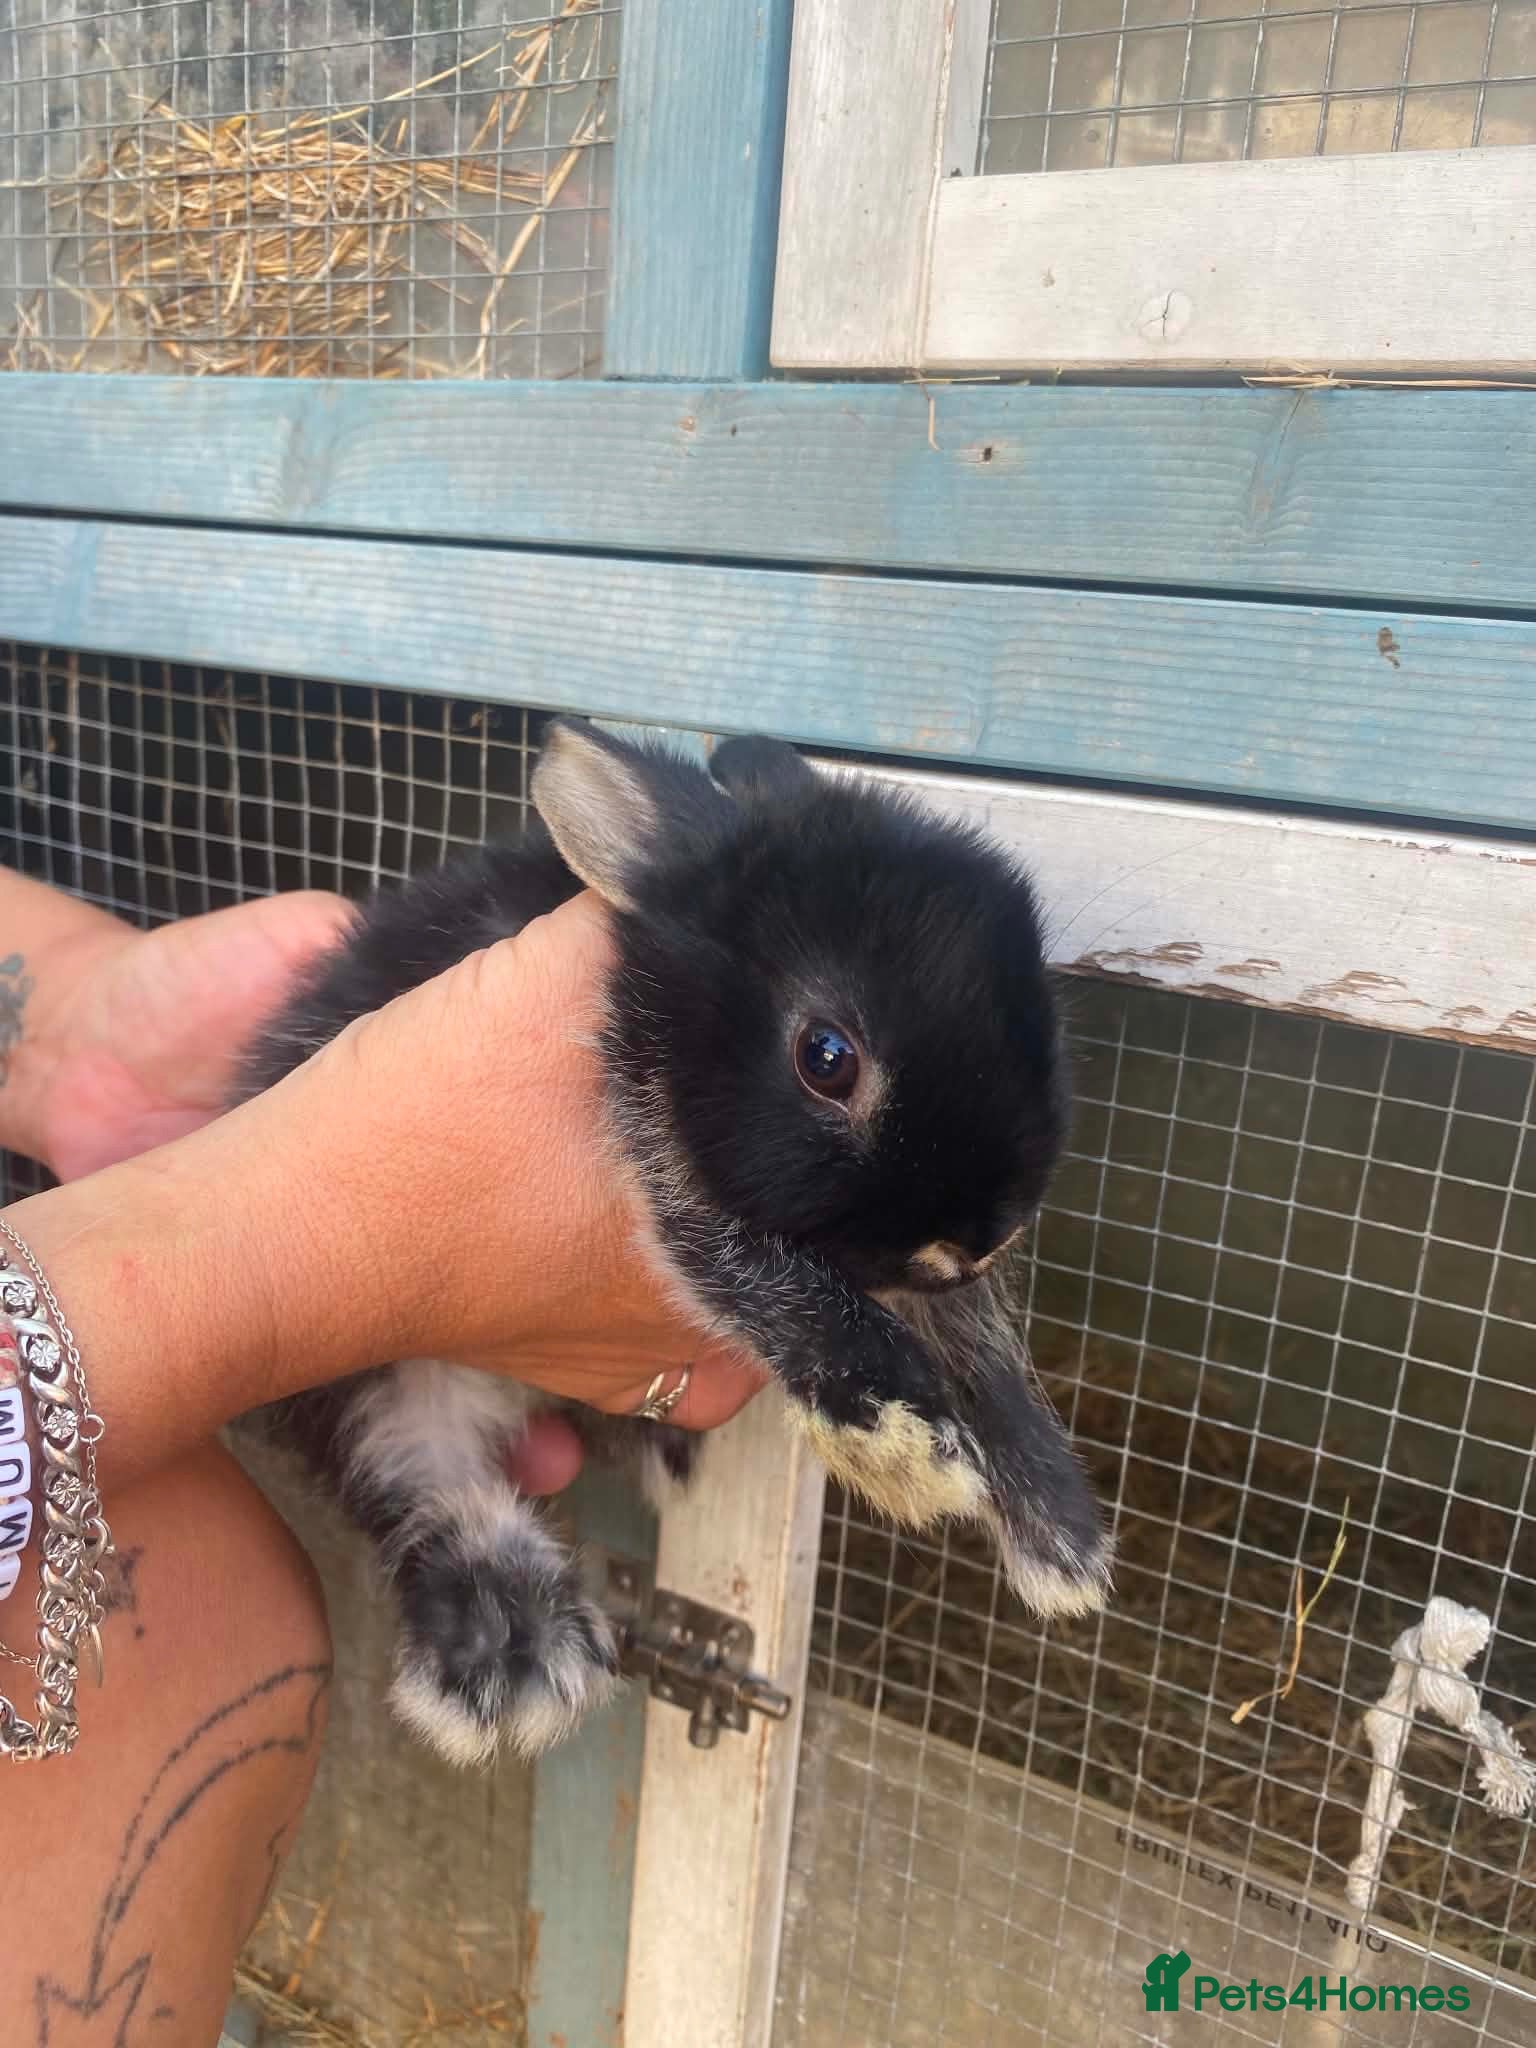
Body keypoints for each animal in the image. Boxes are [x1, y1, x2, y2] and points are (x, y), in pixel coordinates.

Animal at [235, 719, 1112, 1767]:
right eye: (827, 1058)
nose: (972, 1243)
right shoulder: (660, 1158)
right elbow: (741, 1261)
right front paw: (903, 1446)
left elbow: (983, 1353)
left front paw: (1065, 1544)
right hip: (371, 1369)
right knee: (416, 1477)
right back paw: (513, 1650)